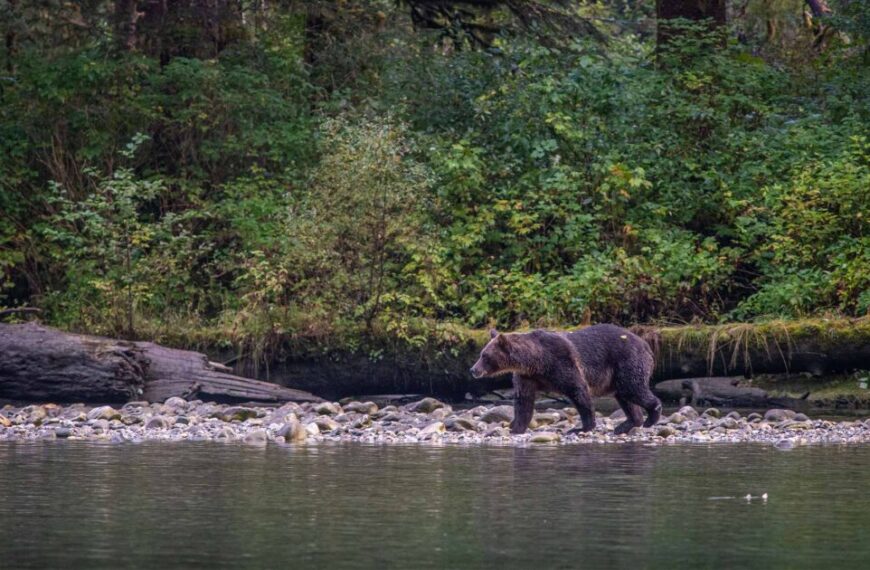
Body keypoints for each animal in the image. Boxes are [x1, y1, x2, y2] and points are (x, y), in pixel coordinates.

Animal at [469, 324, 661, 434]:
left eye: (484, 356)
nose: (473, 370)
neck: (536, 360)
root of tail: (645, 344)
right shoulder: (527, 377)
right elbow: (523, 401)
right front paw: (516, 428)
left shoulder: (561, 362)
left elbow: (578, 390)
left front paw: (583, 427)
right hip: (618, 374)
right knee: (624, 395)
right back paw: (626, 425)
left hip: (627, 360)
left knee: (632, 388)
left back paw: (652, 416)